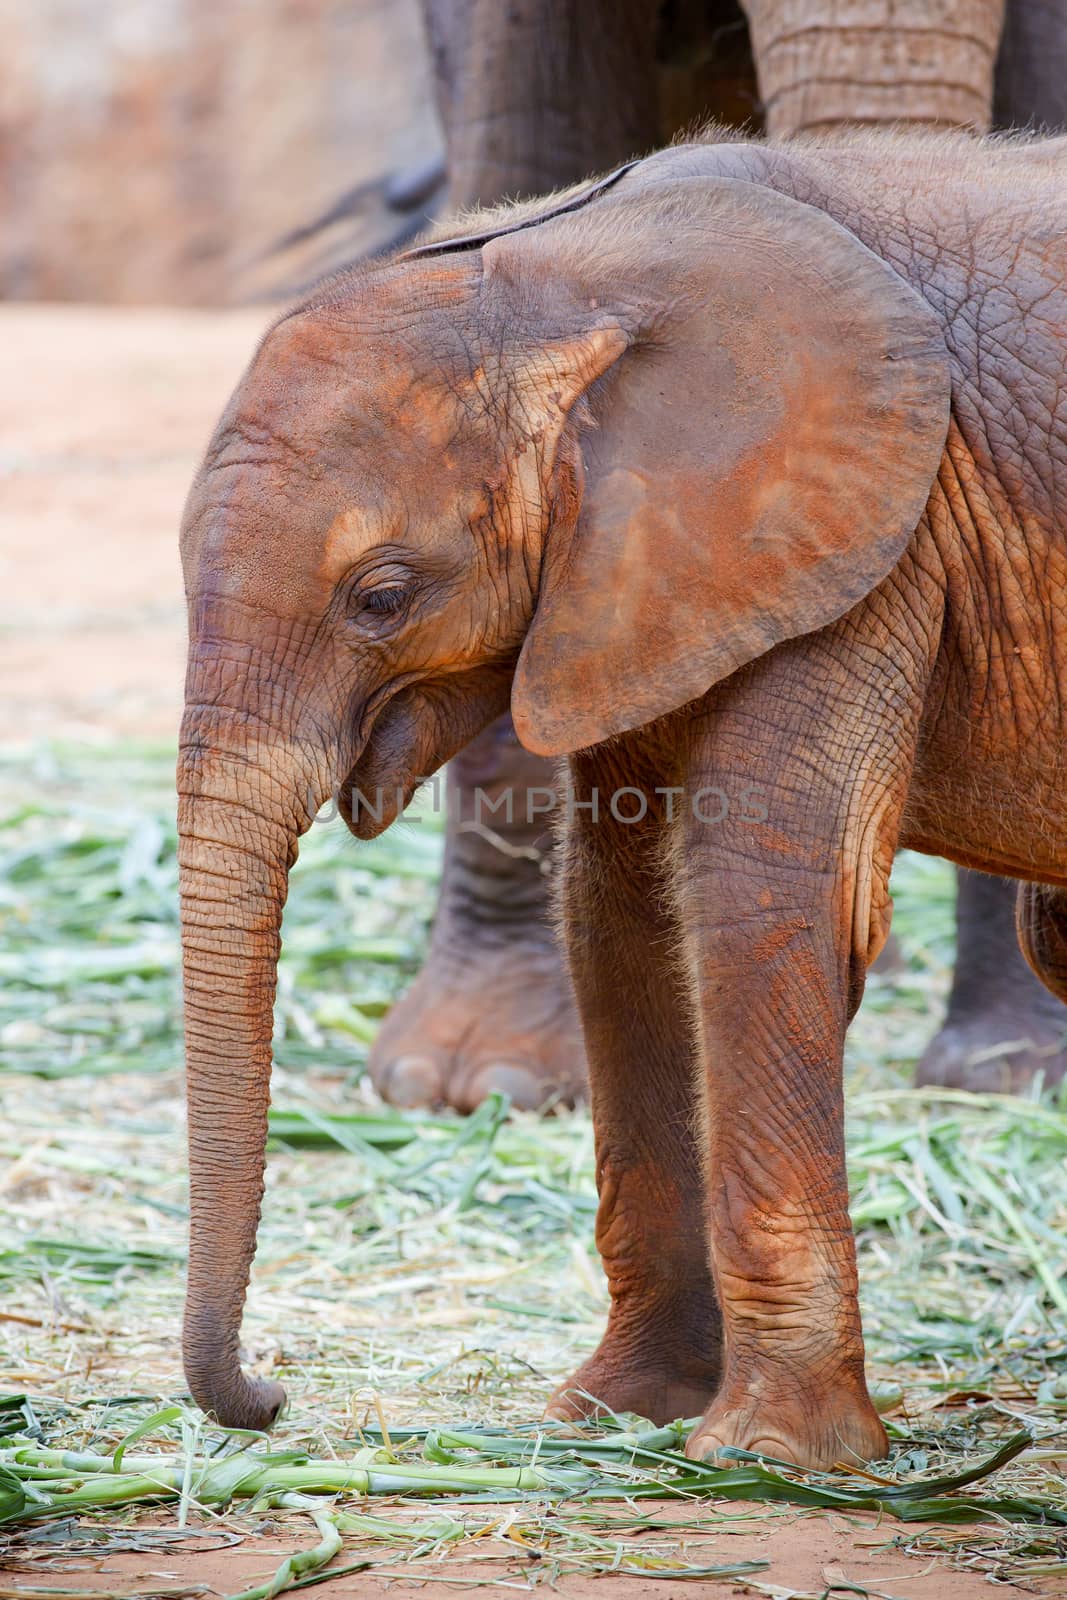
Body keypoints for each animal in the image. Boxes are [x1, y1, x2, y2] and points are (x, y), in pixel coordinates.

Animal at [179, 131, 1067, 1465]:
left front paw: (767, 1458)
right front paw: (616, 1411)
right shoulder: (638, 576)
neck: (552, 264)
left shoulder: (862, 533)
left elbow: (755, 891)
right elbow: (622, 915)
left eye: (381, 596)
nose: (274, 1396)